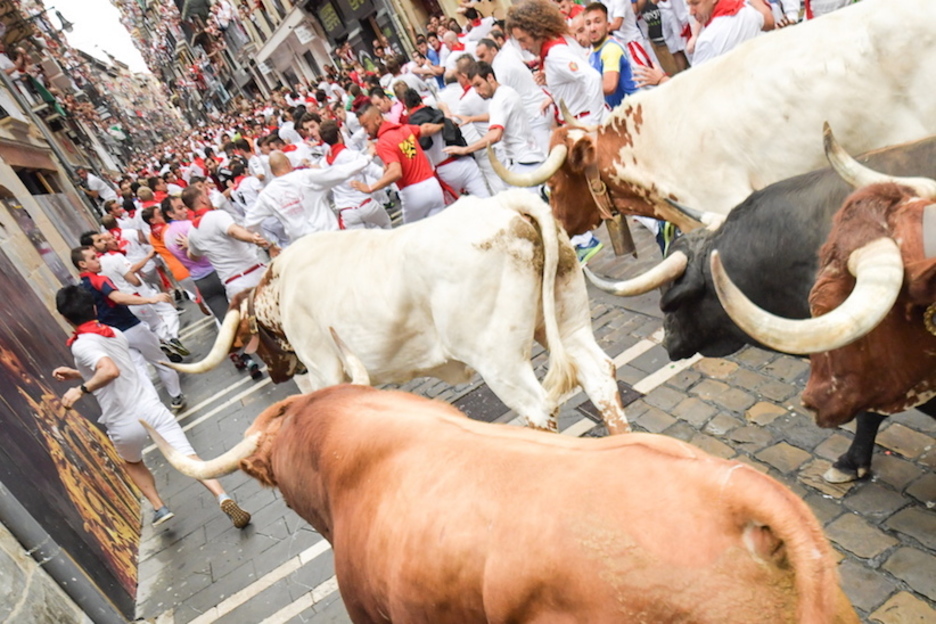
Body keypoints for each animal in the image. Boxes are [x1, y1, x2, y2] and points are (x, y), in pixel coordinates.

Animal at [176, 190, 628, 434]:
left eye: (249, 336)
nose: (275, 374)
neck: (282, 287)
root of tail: (502, 203)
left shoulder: (324, 368)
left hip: (500, 360)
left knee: (538, 409)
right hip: (567, 322)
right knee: (598, 377)